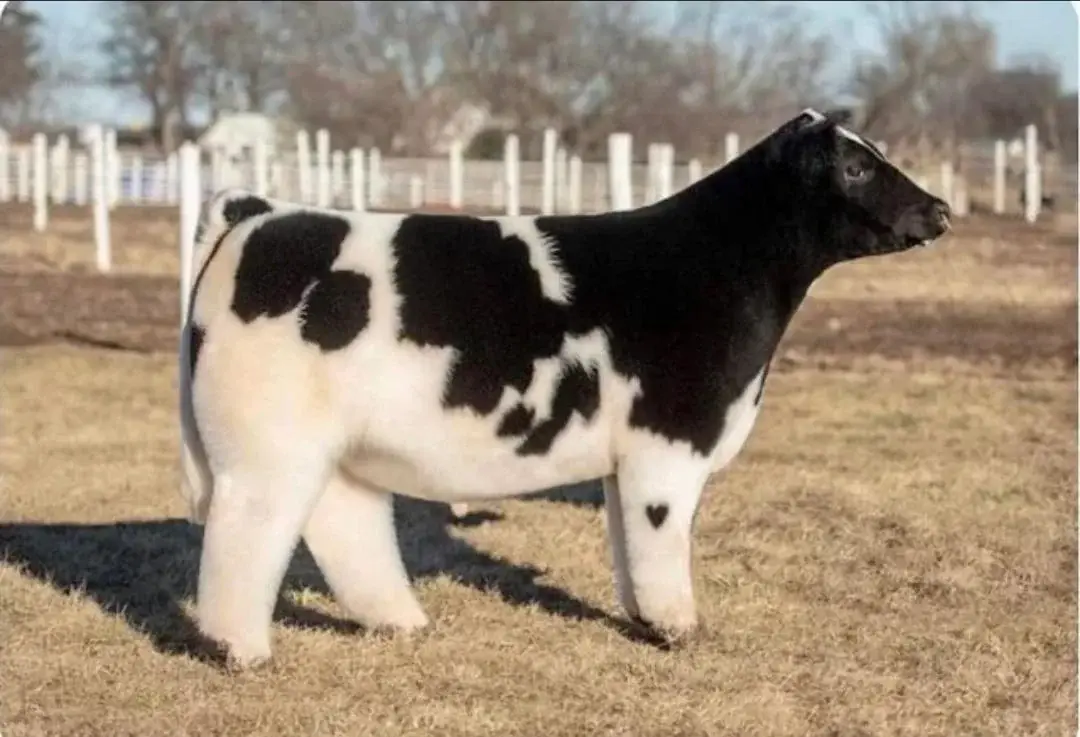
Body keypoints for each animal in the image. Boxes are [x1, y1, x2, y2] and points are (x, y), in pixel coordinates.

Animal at [179, 109, 952, 669]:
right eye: (855, 166)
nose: (940, 209)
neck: (715, 266)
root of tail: (262, 212)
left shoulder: (628, 459)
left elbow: (627, 542)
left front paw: (642, 618)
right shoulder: (669, 442)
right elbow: (662, 539)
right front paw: (679, 629)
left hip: (336, 447)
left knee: (344, 522)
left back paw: (401, 621)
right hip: (266, 447)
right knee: (247, 533)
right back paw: (241, 651)